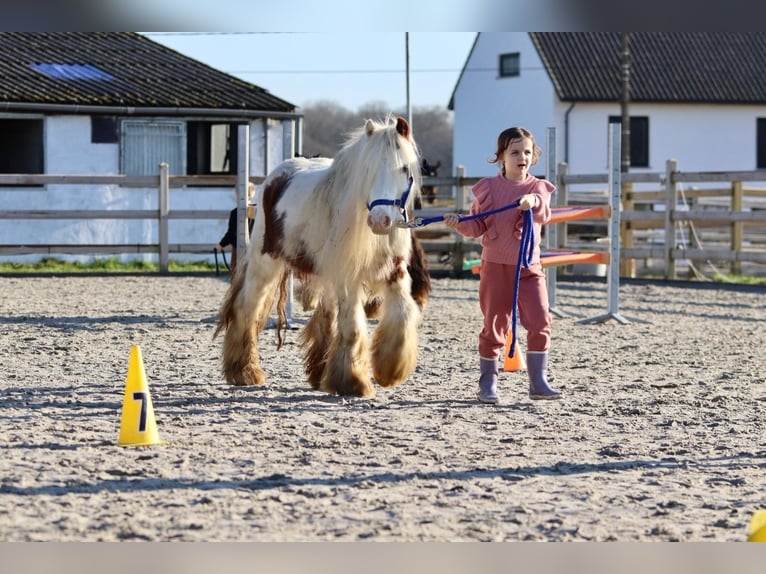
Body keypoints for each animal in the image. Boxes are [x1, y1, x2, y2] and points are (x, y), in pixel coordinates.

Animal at [216, 115, 432, 398]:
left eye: (404, 169)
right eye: (367, 170)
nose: (380, 220)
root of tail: (274, 178)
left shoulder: (394, 272)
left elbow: (404, 314)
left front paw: (389, 369)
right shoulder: (348, 278)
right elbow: (352, 327)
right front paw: (353, 382)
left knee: (326, 317)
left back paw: (319, 373)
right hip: (265, 263)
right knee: (246, 309)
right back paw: (244, 371)